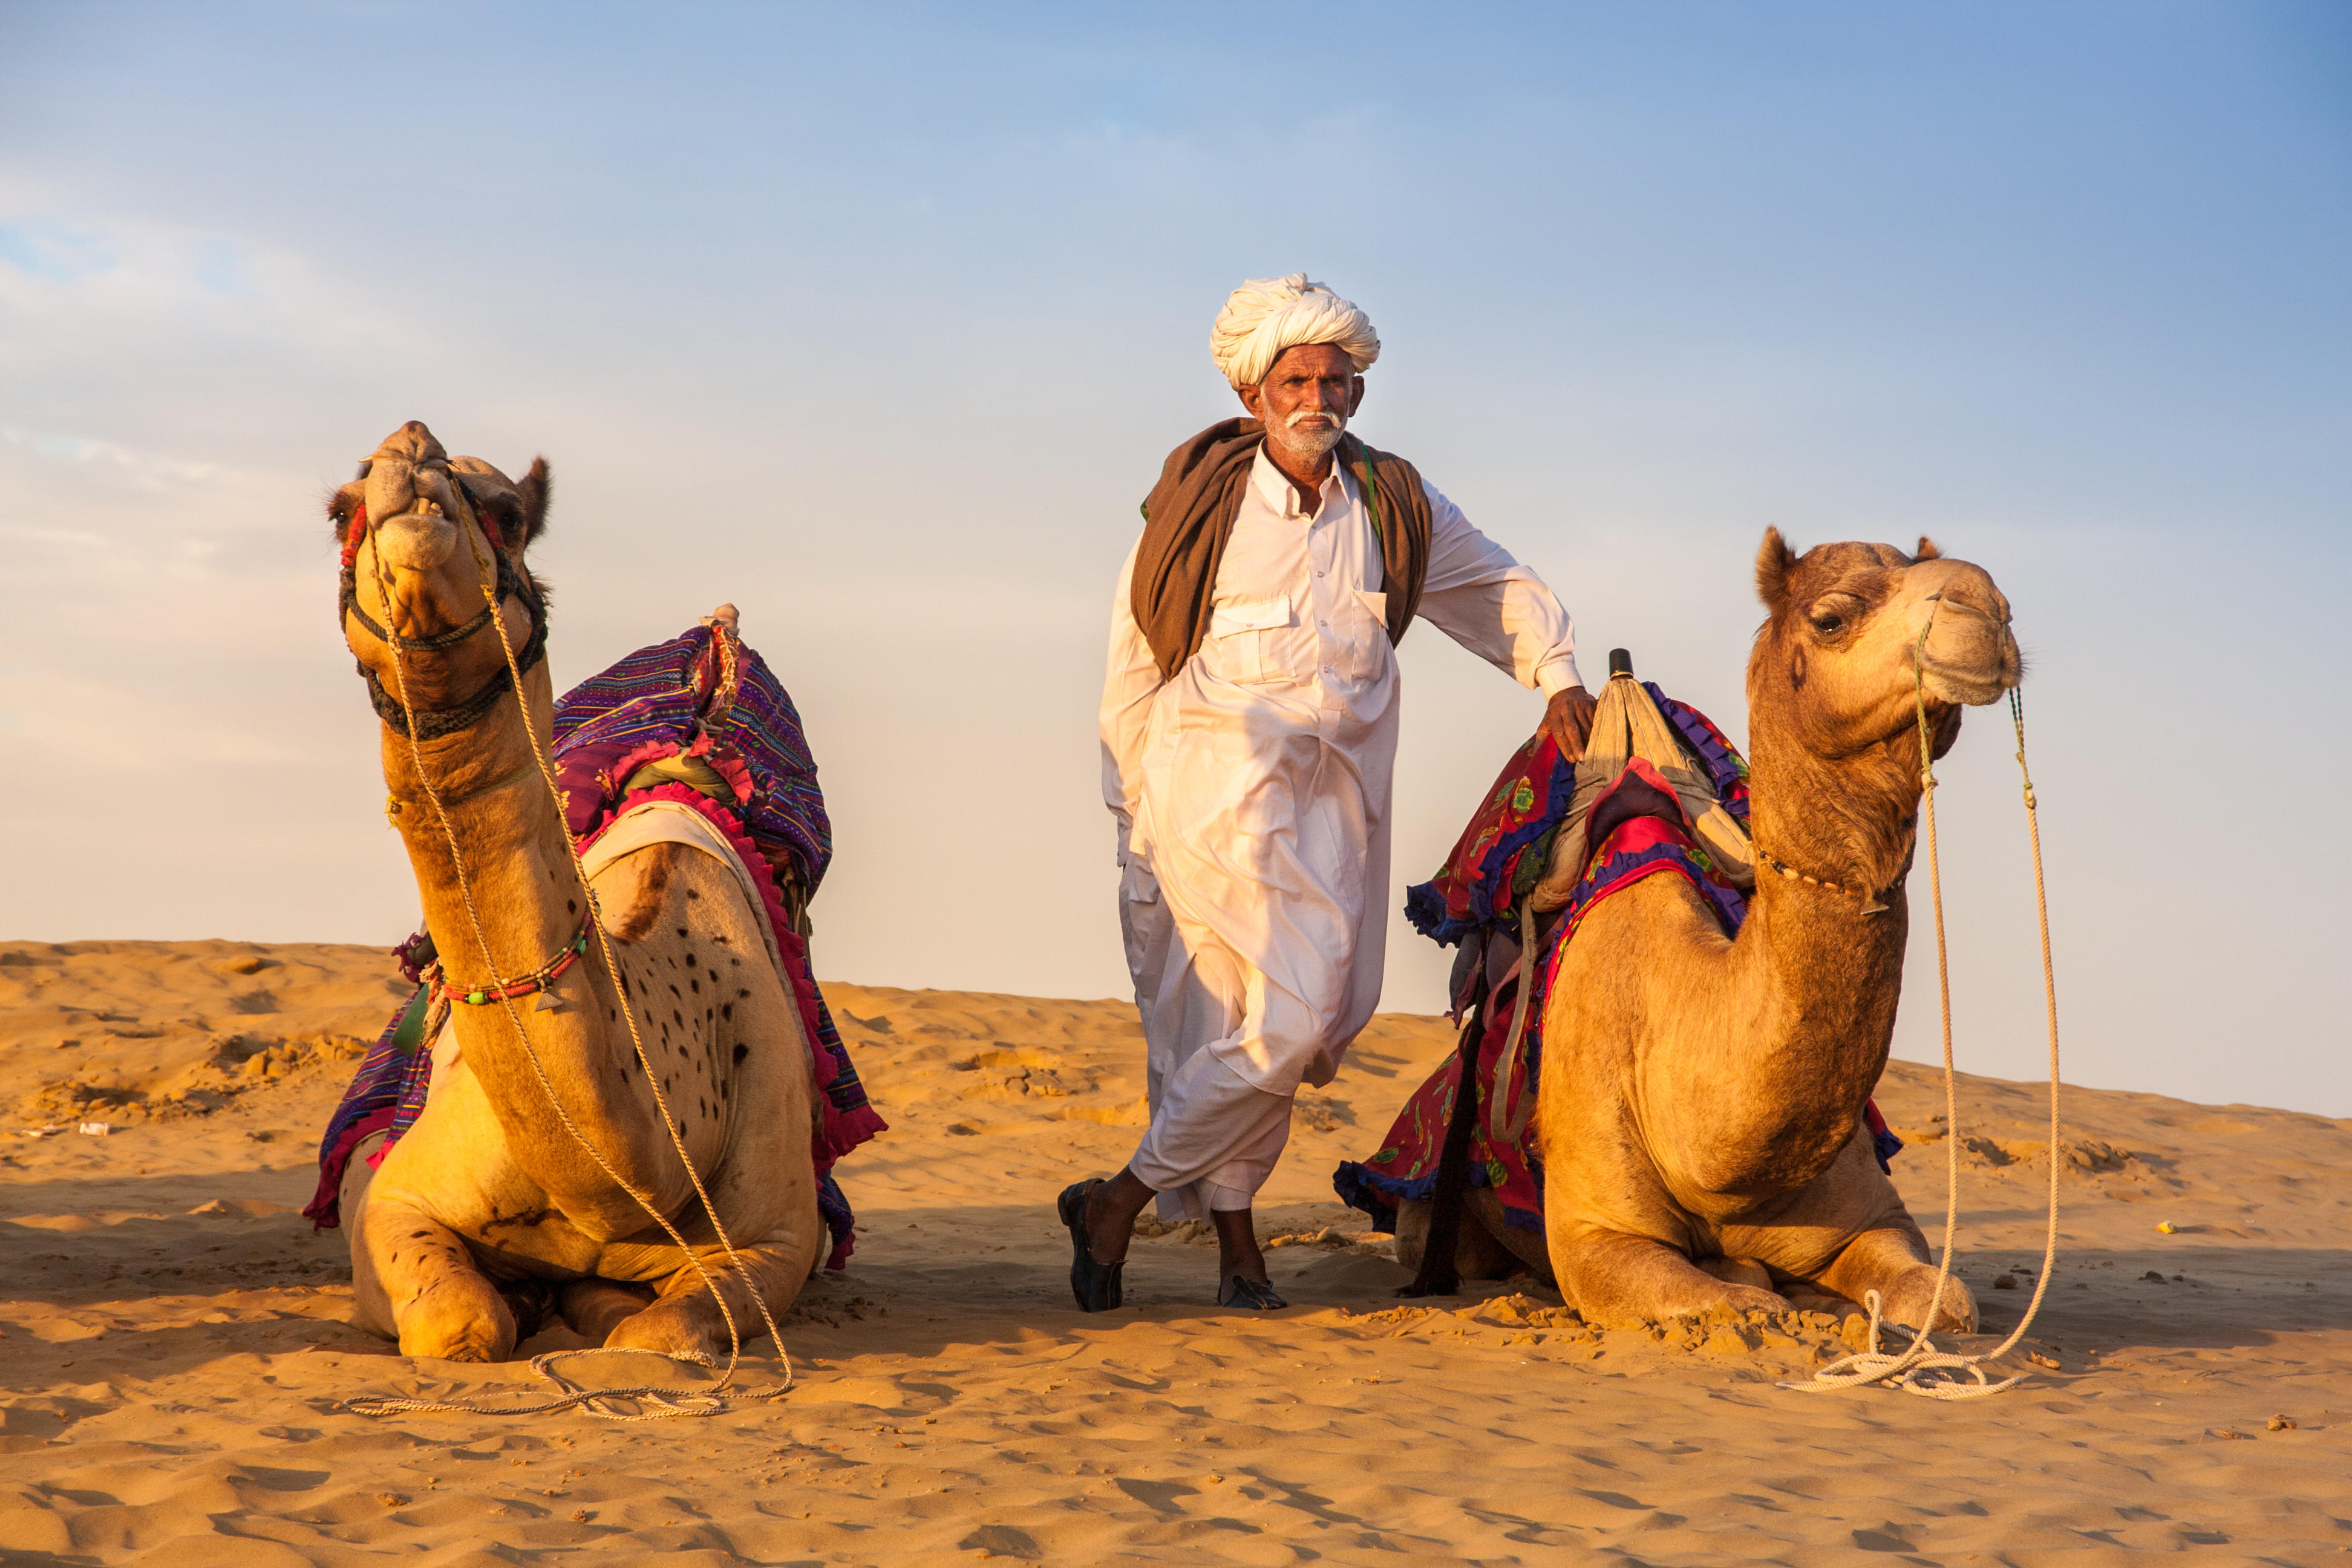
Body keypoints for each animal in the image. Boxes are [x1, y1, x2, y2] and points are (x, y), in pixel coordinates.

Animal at [332, 416, 828, 1363]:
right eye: (341, 506)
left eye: (509, 512)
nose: (409, 458)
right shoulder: (392, 1197)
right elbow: (459, 1321)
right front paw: (522, 1300)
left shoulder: (780, 1240)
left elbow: (658, 1332)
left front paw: (591, 1303)